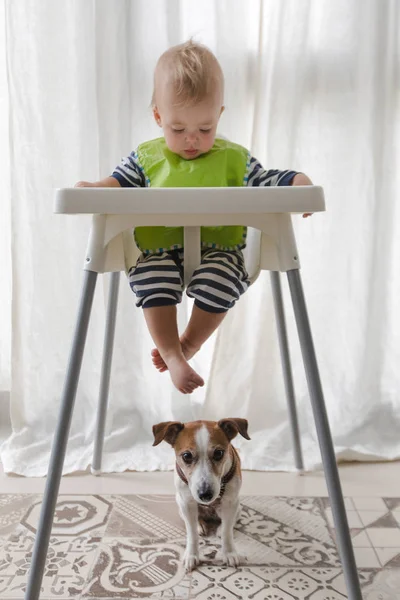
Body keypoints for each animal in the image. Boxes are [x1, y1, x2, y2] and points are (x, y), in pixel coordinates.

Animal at [153, 420, 250, 568]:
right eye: (186, 456)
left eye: (219, 453)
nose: (205, 494)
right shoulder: (186, 503)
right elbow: (192, 534)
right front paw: (191, 555)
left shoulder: (230, 502)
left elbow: (227, 532)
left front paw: (229, 553)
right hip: (180, 505)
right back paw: (199, 525)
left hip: (238, 507)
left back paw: (219, 528)